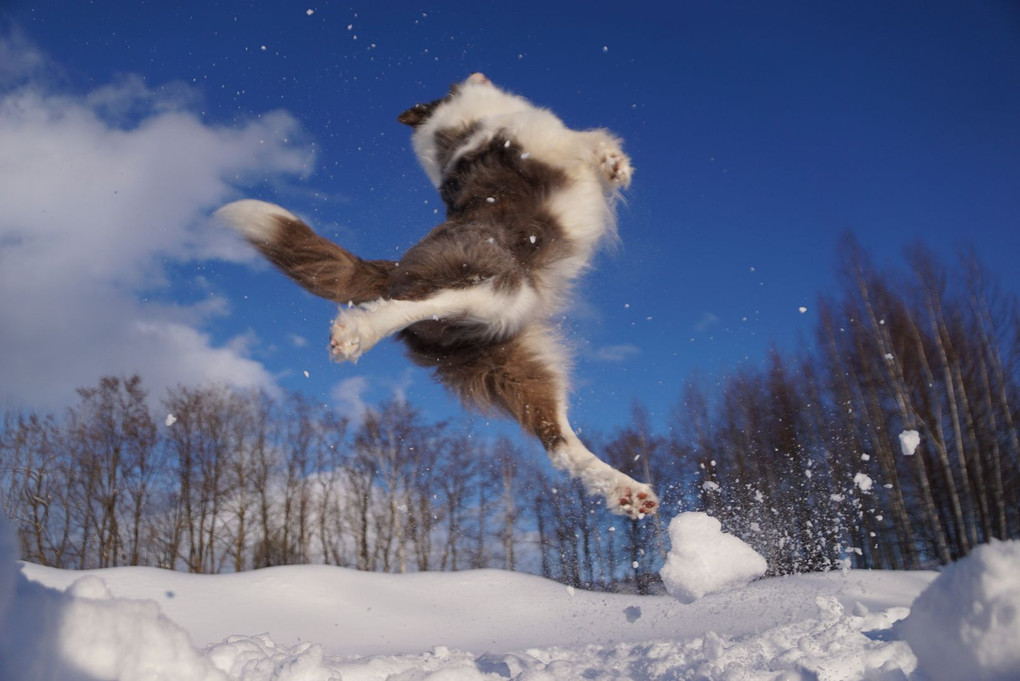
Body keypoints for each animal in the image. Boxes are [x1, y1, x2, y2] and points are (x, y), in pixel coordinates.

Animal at [218, 74, 656, 517]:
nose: (476, 74)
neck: (464, 125)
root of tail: (394, 268)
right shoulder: (546, 139)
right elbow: (588, 138)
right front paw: (615, 163)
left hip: (518, 355)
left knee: (559, 443)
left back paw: (628, 491)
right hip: (496, 286)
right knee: (416, 305)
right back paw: (357, 333)